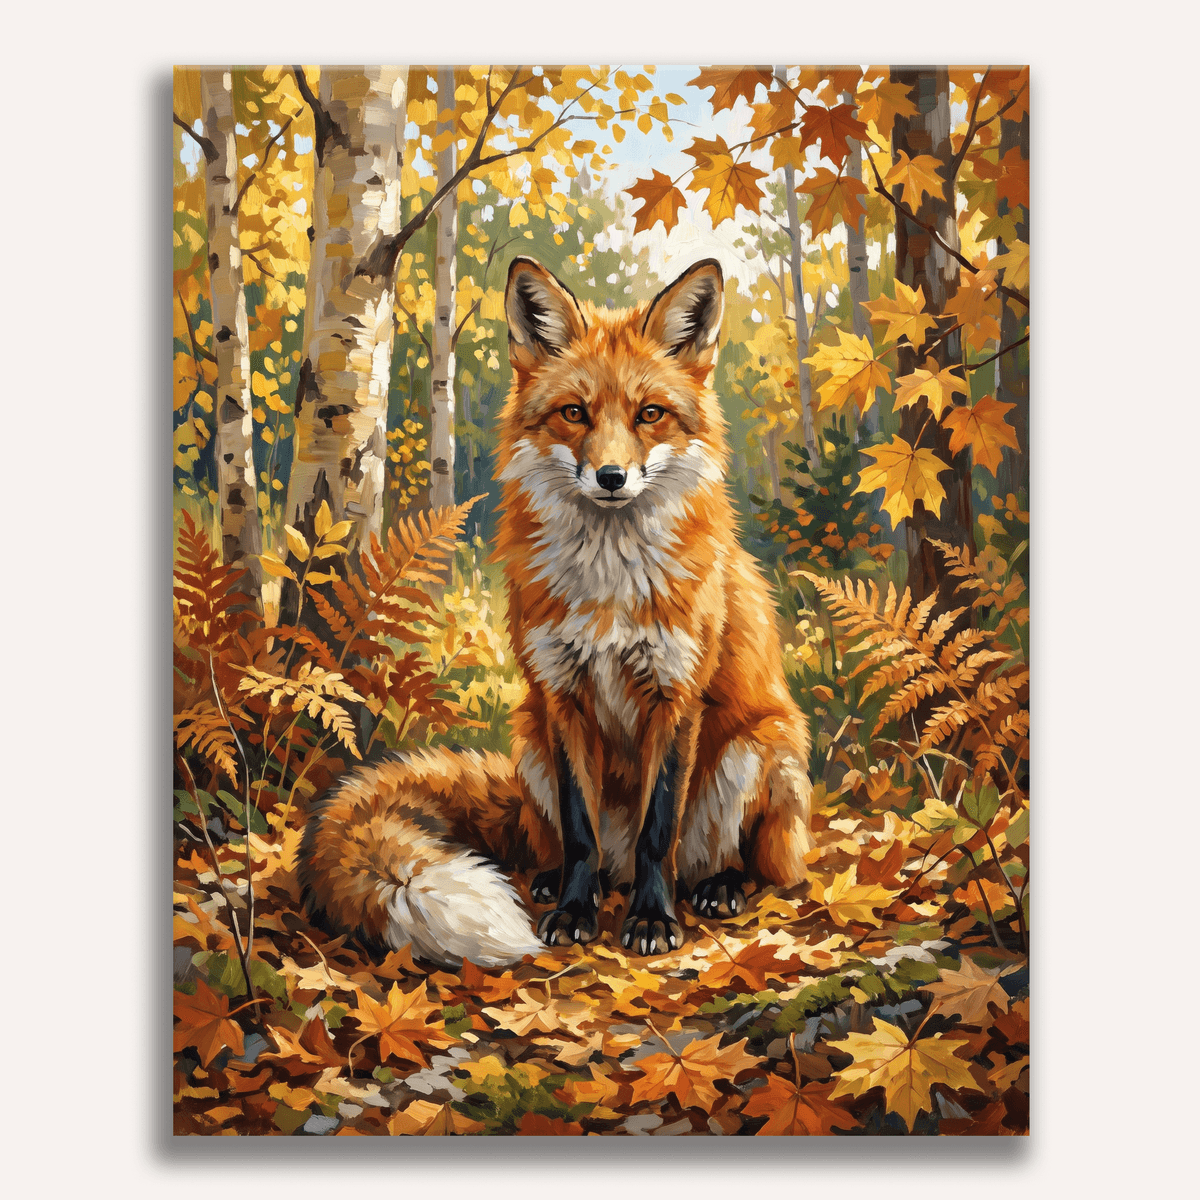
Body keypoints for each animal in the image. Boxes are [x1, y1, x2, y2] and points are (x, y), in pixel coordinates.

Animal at [297, 255, 814, 967]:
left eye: (650, 413)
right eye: (575, 412)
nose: (612, 477)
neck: (609, 590)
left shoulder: (676, 696)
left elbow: (659, 832)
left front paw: (652, 920)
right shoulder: (561, 694)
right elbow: (579, 832)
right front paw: (573, 912)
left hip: (758, 747)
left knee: (734, 862)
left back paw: (717, 887)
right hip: (531, 740)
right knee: (583, 850)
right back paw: (561, 884)